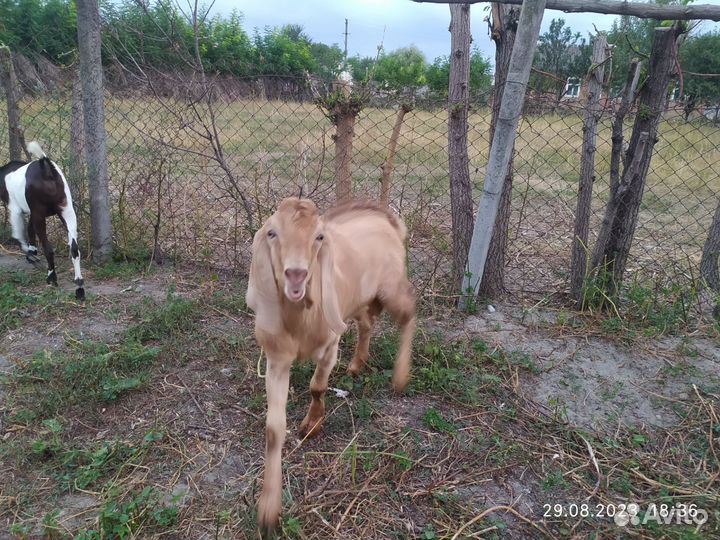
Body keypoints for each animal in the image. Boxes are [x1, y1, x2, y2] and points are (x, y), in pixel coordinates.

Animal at [1, 142, 85, 300]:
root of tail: (47, 169)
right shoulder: (32, 213)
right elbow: (29, 230)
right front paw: (32, 251)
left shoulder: (16, 211)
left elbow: (18, 236)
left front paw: (30, 254)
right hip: (68, 213)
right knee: (74, 249)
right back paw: (79, 286)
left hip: (41, 216)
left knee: (49, 250)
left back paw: (52, 278)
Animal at [246, 197, 416, 531]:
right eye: (272, 232)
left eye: (319, 236)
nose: (296, 274)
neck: (300, 319)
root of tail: (387, 219)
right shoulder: (277, 360)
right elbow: (273, 429)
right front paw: (268, 510)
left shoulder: (330, 344)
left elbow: (317, 386)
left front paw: (312, 425)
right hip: (359, 299)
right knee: (367, 324)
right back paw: (357, 364)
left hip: (389, 286)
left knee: (409, 311)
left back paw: (400, 377)